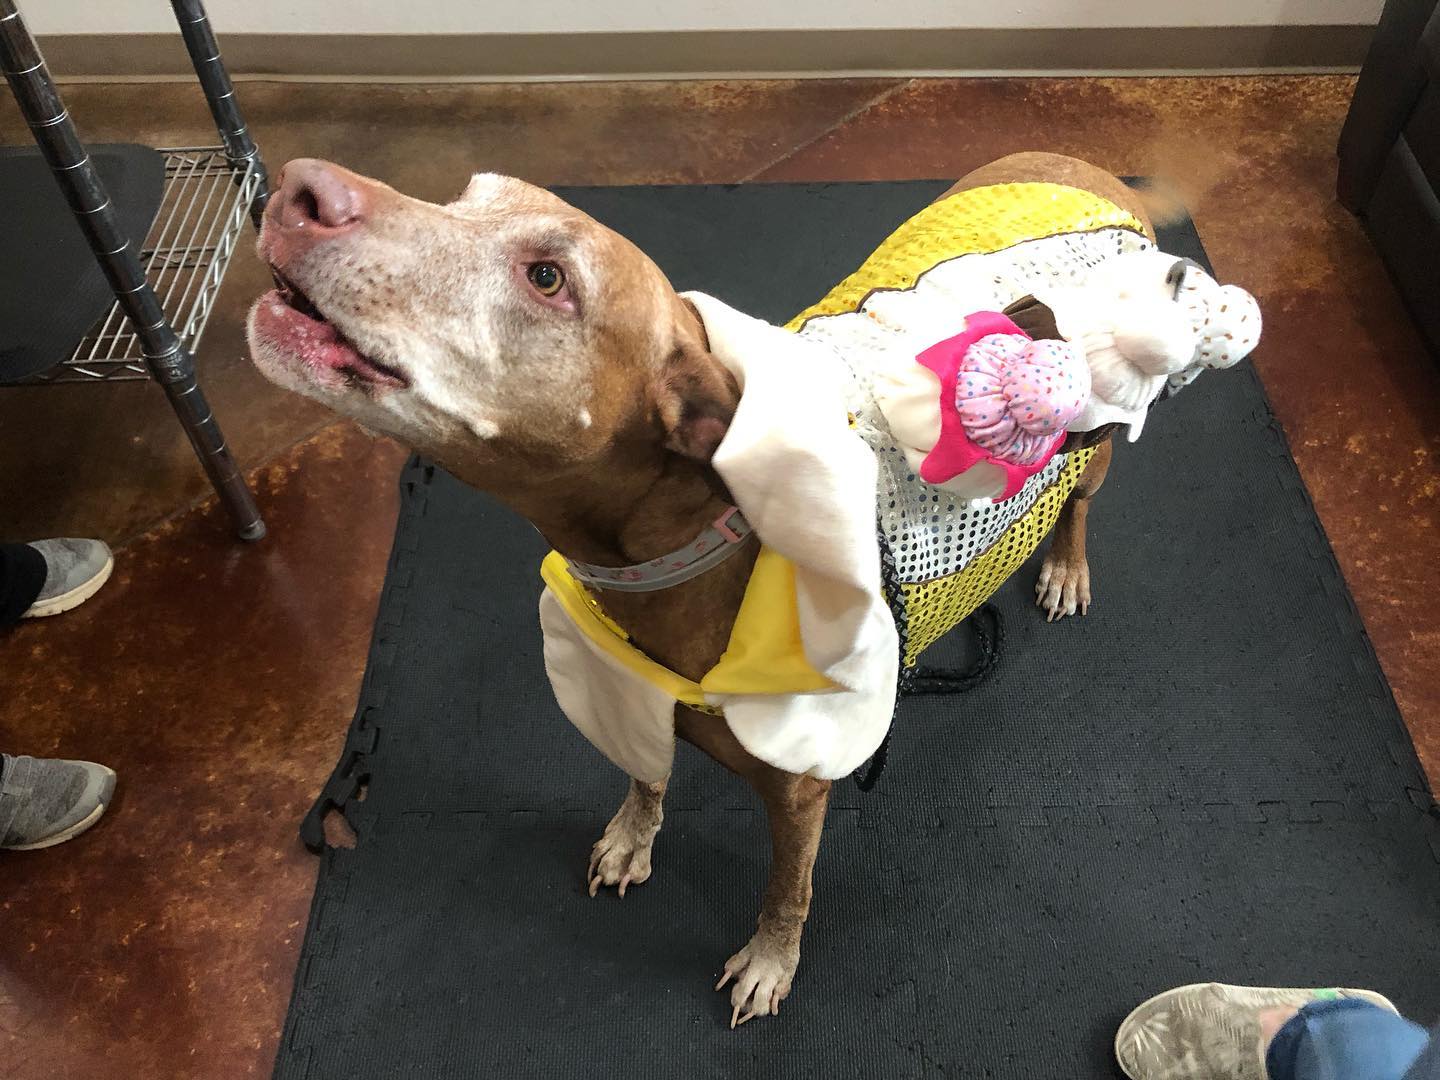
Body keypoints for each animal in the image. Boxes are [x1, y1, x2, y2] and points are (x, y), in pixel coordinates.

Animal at [248, 152, 1257, 1027]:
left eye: (547, 278)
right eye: (464, 195)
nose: (299, 188)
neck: (683, 548)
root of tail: (1088, 169)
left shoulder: (801, 797)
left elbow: (788, 891)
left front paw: (771, 962)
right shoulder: (633, 686)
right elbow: (644, 770)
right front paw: (634, 832)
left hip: (1098, 451)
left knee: (1082, 498)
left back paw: (1065, 565)